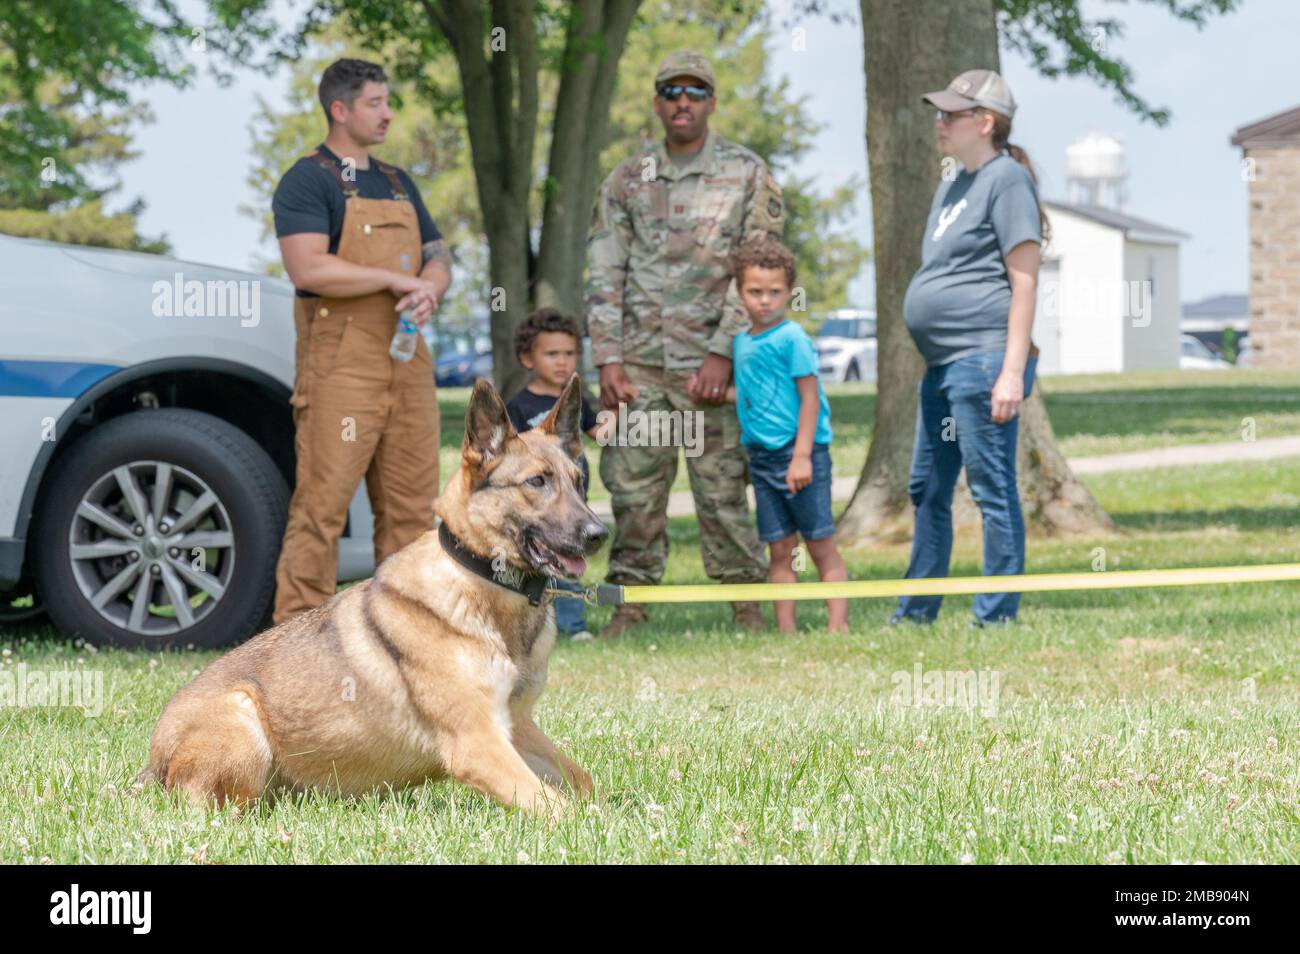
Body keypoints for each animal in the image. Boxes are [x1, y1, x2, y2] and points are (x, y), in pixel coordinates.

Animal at [142, 376, 608, 816]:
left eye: (579, 482)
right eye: (536, 482)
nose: (598, 534)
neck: (483, 582)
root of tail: (152, 764)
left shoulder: (517, 727)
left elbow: (585, 783)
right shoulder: (476, 743)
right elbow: (559, 808)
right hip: (242, 716)